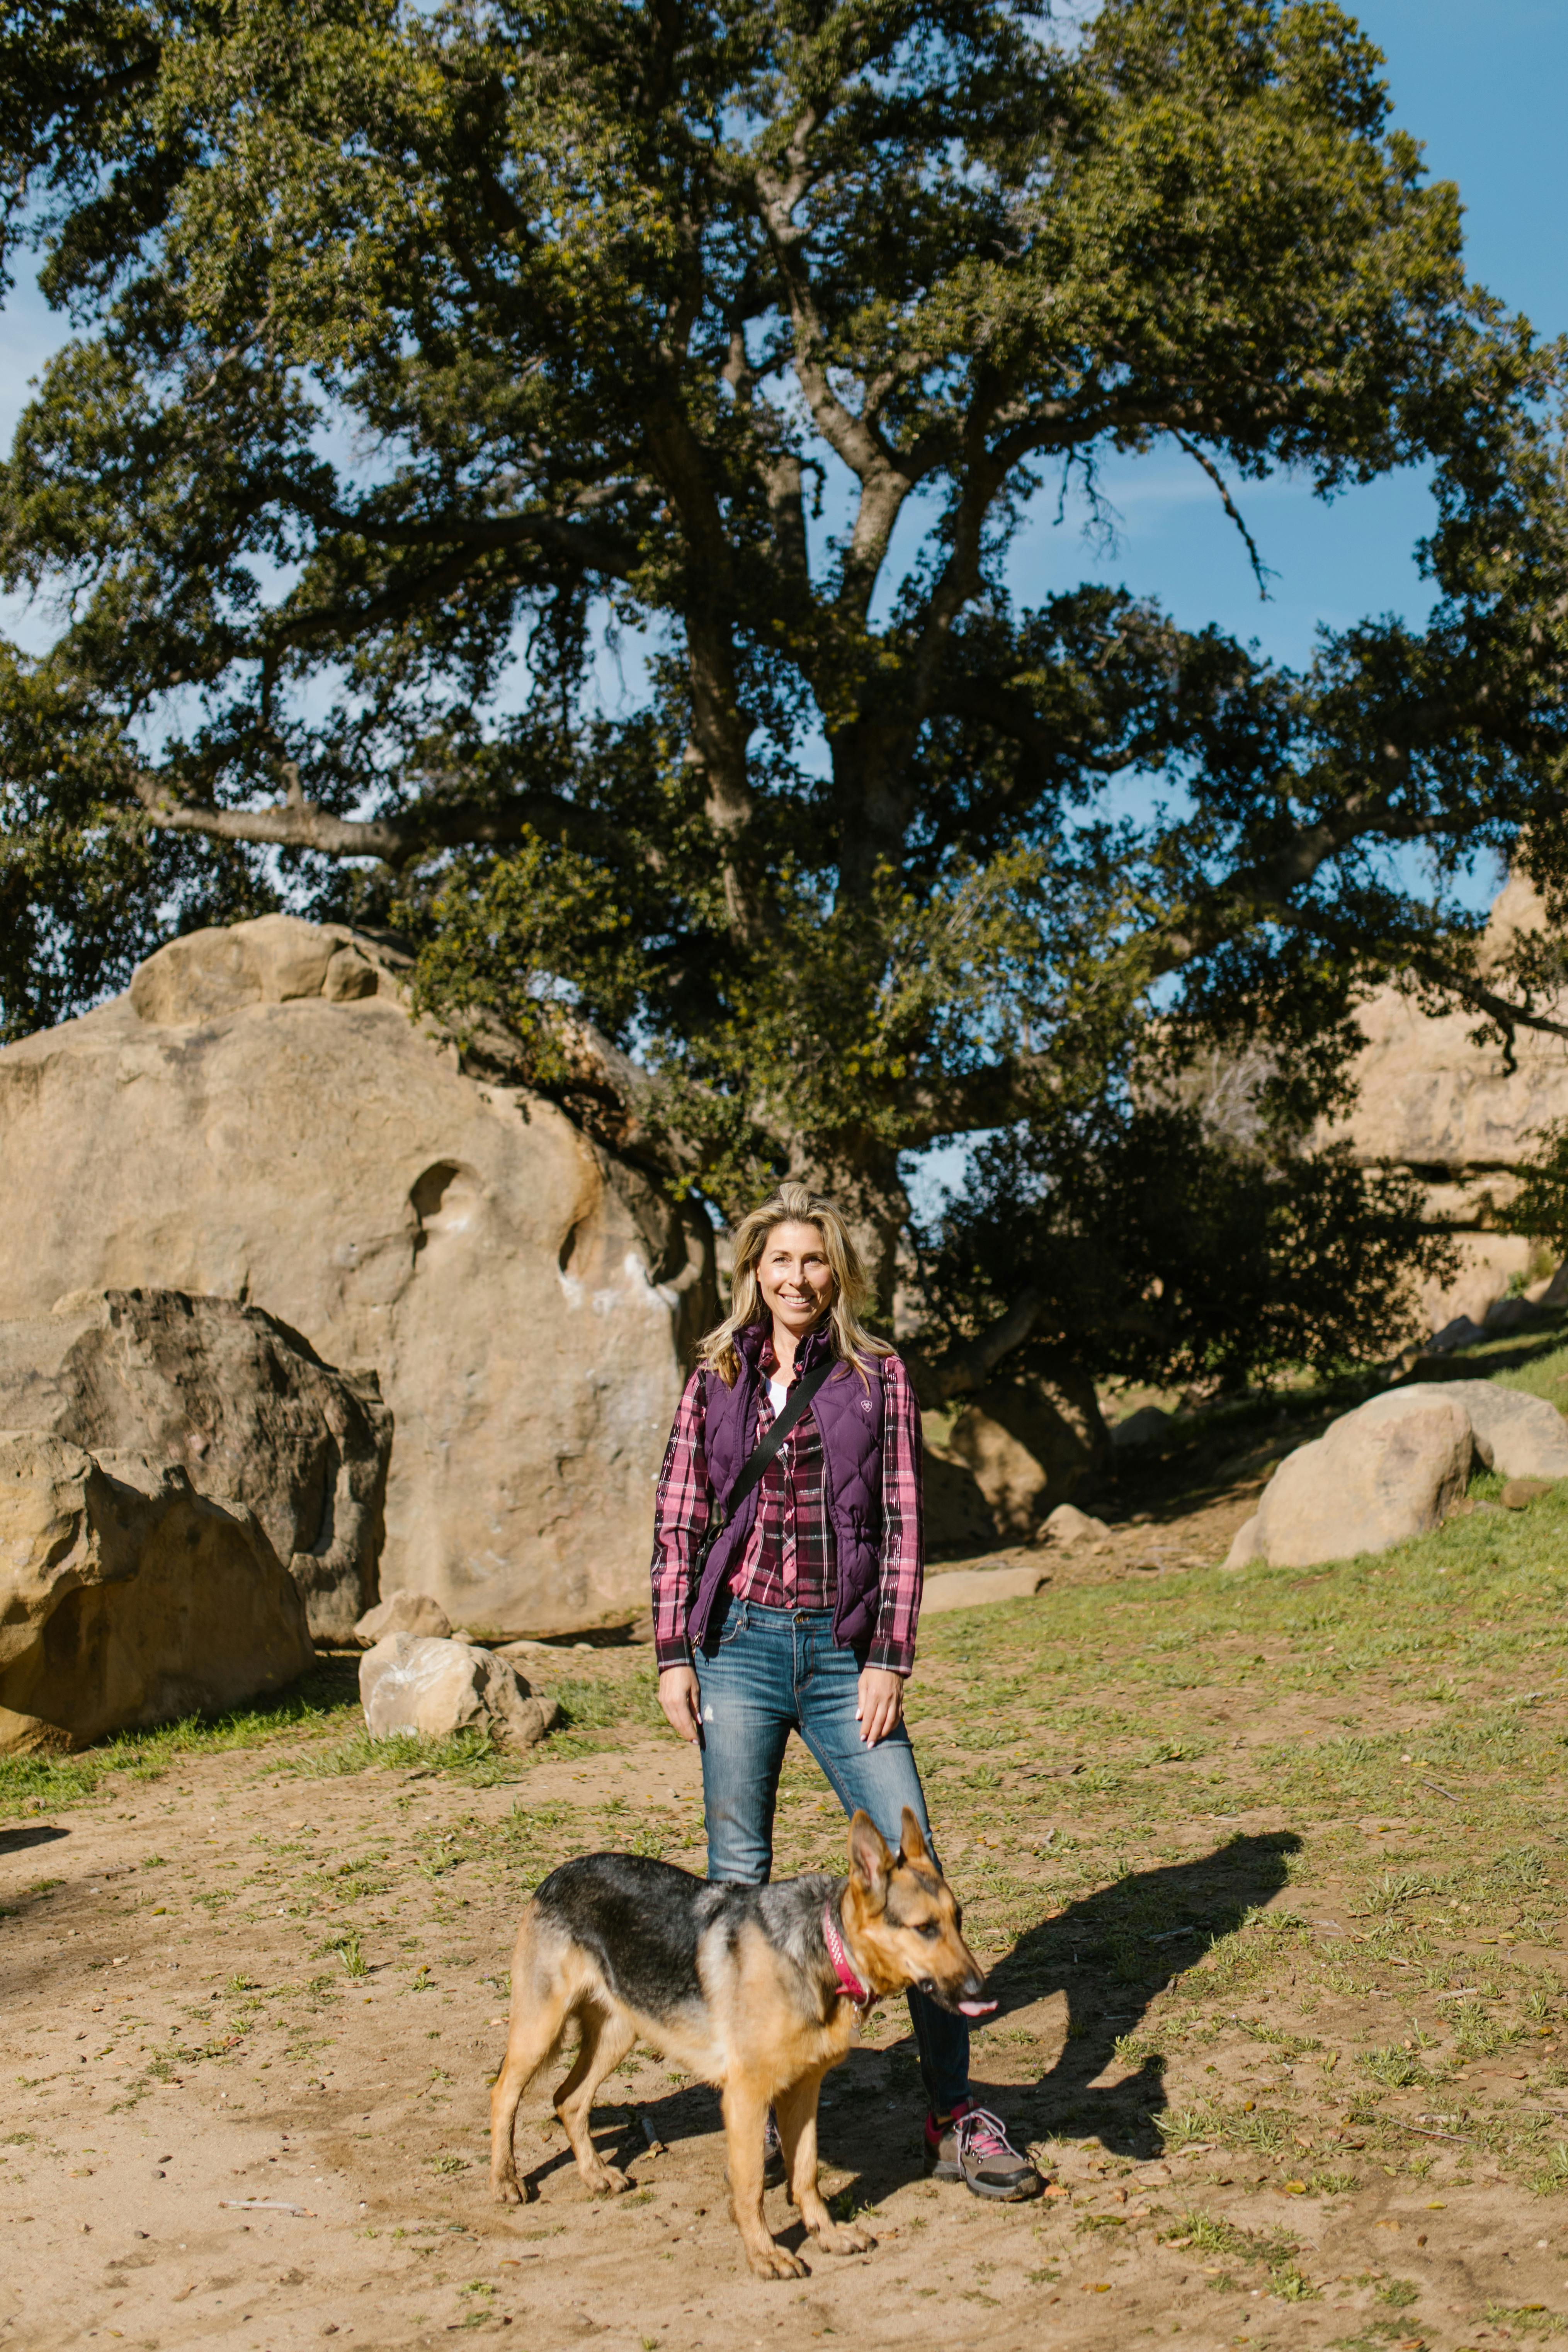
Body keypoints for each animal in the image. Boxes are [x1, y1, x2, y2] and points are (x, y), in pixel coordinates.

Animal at [491, 1797, 987, 2277]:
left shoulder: (802, 2091)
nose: (979, 1991)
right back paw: (505, 2180)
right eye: (924, 1928)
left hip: (618, 2033)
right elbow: (750, 2188)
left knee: (568, 2100)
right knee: (504, 2095)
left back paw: (594, 2174)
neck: (824, 1950)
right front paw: (764, 2255)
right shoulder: (746, 2097)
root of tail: (557, 1873)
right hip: (539, 2032)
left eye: (959, 1921)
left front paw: (826, 2235)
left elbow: (805, 2174)